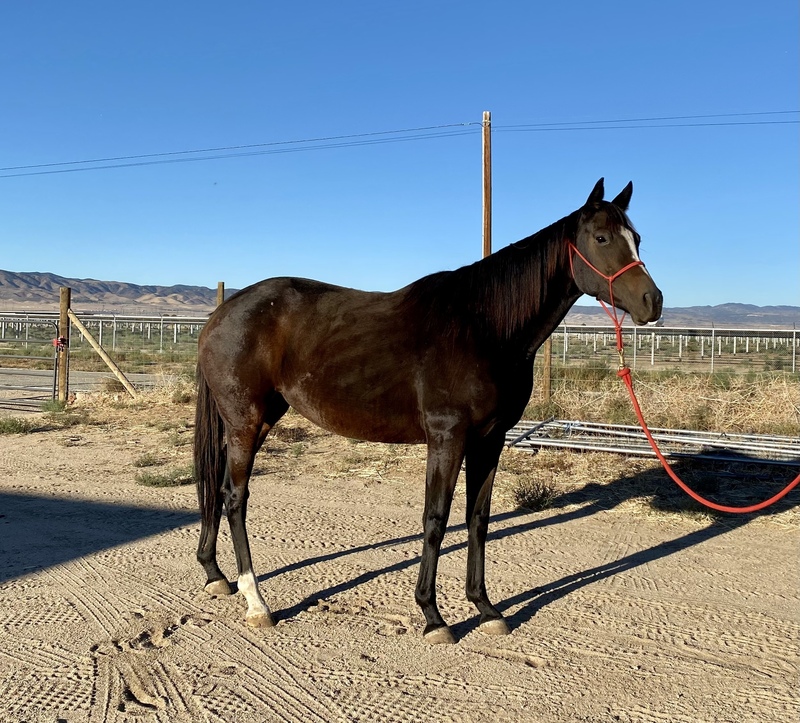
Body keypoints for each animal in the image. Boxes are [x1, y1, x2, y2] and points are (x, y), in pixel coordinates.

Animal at [192, 180, 664, 644]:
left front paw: (486, 609)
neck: (485, 327)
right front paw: (433, 617)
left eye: (637, 239)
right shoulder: (446, 437)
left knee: (216, 485)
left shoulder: (490, 439)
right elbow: (435, 519)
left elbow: (478, 519)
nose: (653, 301)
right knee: (235, 497)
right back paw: (257, 602)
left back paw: (215, 574)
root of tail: (222, 313)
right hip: (246, 421)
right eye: (601, 238)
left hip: (255, 421)